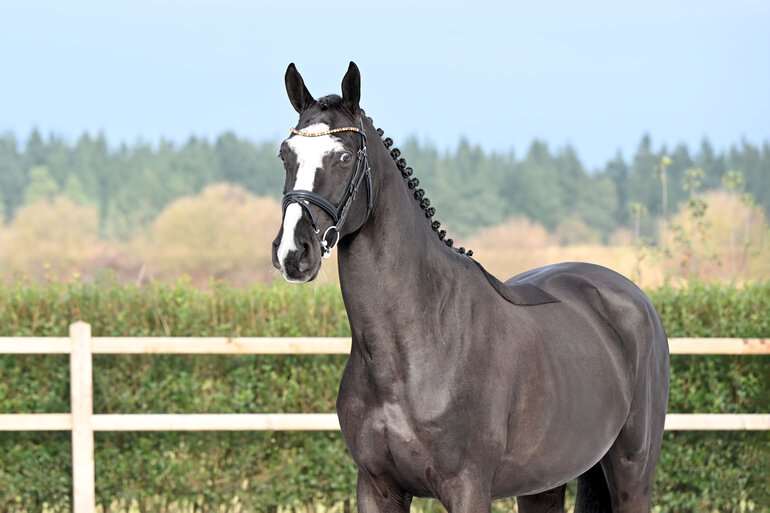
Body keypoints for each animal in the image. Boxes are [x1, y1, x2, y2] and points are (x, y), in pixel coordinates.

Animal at [271, 61, 669, 513]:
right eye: (286, 154)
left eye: (343, 156)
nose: (293, 252)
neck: (416, 344)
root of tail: (633, 299)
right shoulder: (376, 486)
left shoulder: (467, 486)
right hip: (542, 484)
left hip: (632, 473)